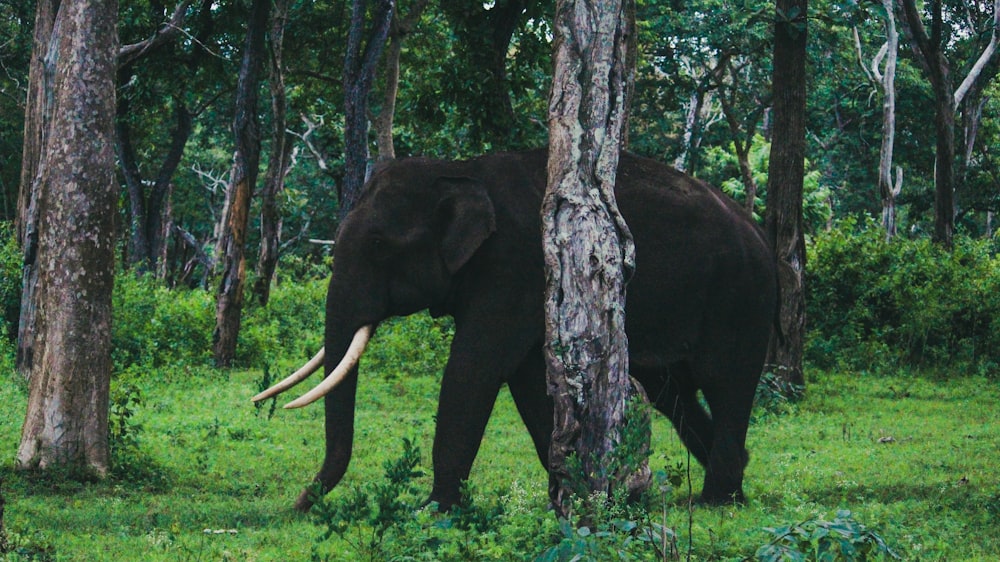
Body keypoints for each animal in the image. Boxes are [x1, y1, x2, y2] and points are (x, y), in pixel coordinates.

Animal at [254, 147, 776, 510]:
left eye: (380, 245)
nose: (298, 505)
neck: (461, 170)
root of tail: (759, 233)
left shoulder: (516, 266)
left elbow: (476, 367)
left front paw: (435, 511)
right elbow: (526, 378)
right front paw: (571, 497)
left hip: (742, 297)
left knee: (728, 383)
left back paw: (718, 500)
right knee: (674, 391)